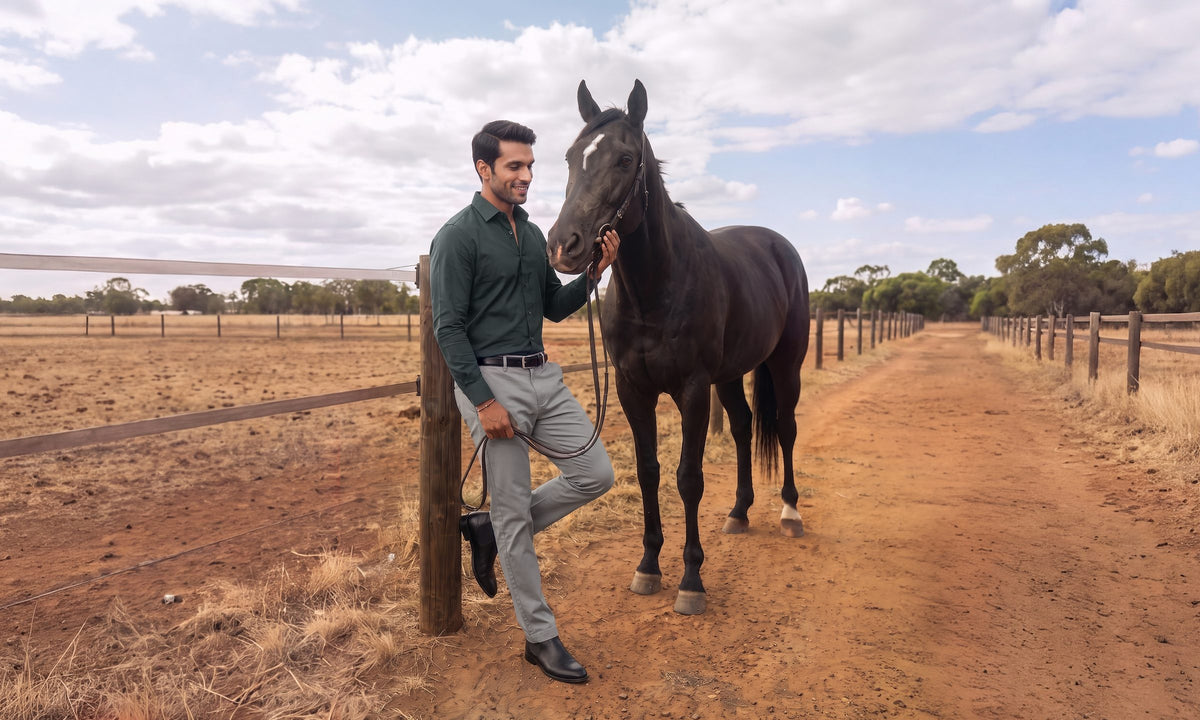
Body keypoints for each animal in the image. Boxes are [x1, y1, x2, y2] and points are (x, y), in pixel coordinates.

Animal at [546, 79, 811, 615]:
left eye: (626, 159)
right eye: (569, 157)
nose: (565, 245)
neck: (657, 287)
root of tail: (780, 247)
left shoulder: (691, 389)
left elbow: (688, 477)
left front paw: (691, 580)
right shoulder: (633, 390)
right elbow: (649, 472)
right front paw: (649, 566)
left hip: (785, 365)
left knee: (786, 427)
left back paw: (790, 513)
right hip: (730, 376)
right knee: (744, 427)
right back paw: (739, 512)